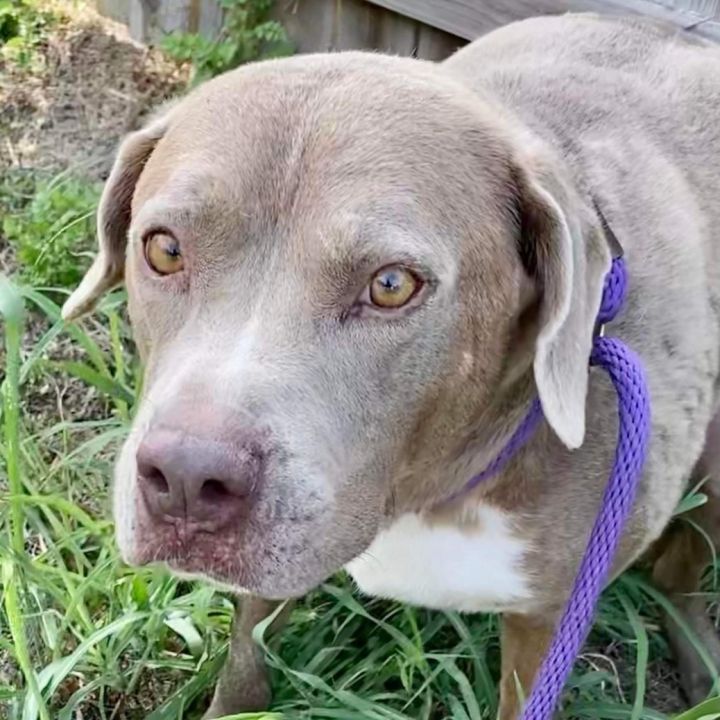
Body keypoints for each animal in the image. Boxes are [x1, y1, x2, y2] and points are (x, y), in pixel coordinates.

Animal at [62, 12, 720, 720]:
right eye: (163, 249)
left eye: (391, 285)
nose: (186, 476)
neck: (421, 495)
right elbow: (246, 645)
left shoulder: (549, 618)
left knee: (680, 570)